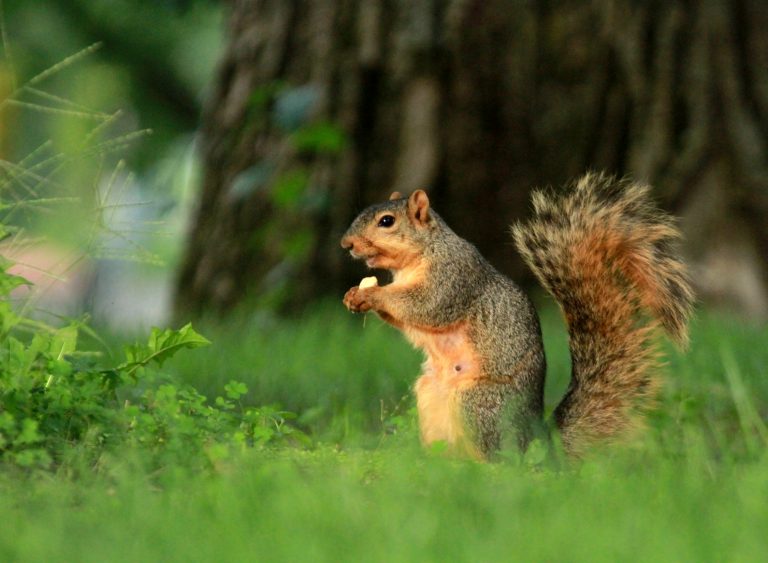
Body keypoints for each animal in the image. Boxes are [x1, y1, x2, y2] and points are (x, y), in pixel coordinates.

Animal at [340, 174, 692, 460]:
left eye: (387, 221)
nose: (346, 244)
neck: (420, 255)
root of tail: (537, 441)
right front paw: (354, 295)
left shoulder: (454, 278)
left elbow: (428, 306)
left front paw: (371, 294)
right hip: (431, 395)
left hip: (478, 404)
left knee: (500, 459)